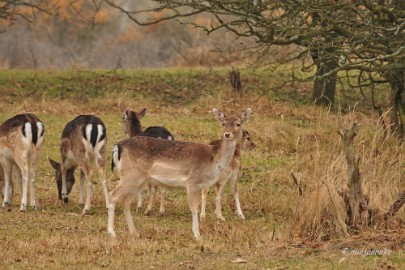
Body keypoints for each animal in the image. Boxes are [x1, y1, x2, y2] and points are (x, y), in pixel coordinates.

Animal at [106, 107, 249, 238]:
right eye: (223, 123)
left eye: (238, 123)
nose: (227, 134)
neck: (213, 160)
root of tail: (118, 146)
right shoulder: (192, 181)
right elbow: (194, 207)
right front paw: (197, 235)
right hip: (131, 176)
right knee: (113, 195)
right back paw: (112, 232)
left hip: (137, 180)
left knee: (126, 202)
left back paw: (134, 232)